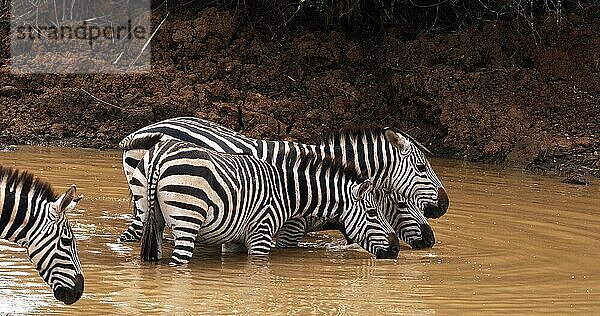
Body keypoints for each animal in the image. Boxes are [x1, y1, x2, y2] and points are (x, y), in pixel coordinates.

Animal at [129, 138, 400, 264]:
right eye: (373, 214)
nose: (396, 249)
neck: (287, 191)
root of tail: (160, 156)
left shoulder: (235, 238)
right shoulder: (261, 233)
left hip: (149, 215)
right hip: (187, 218)